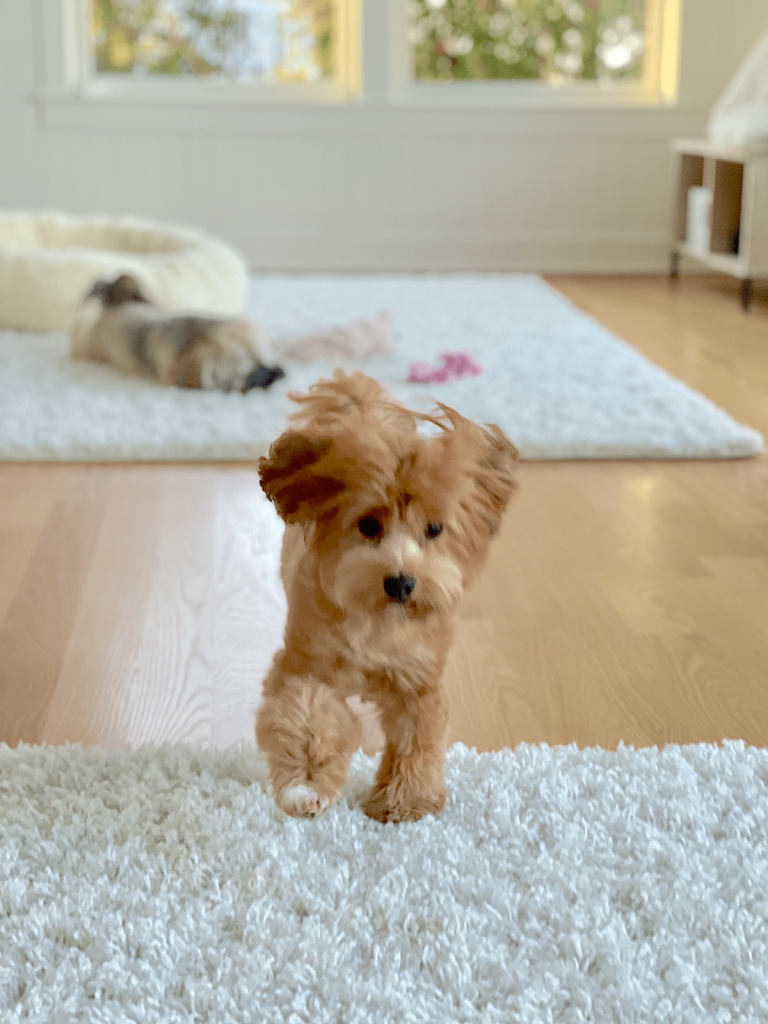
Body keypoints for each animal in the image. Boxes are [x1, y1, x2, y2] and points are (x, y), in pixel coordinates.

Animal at [257, 372, 518, 819]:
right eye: (367, 525)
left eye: (434, 529)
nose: (400, 582)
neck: (377, 621)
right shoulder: (306, 666)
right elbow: (306, 721)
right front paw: (306, 786)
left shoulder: (418, 680)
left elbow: (419, 738)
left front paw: (405, 799)